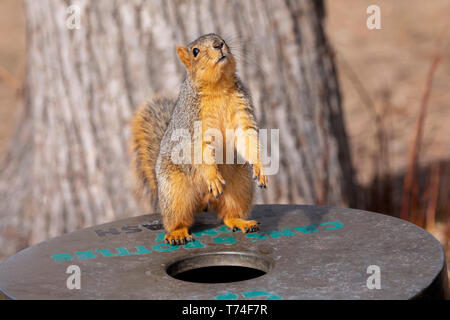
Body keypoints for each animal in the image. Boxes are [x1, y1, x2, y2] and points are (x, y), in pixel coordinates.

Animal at [130, 33, 268, 245]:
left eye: (220, 37)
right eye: (195, 51)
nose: (219, 45)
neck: (218, 86)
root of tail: (204, 202)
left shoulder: (242, 112)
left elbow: (248, 137)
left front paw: (260, 167)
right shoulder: (193, 125)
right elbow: (200, 149)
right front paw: (212, 177)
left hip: (240, 185)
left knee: (229, 213)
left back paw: (241, 221)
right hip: (174, 193)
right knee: (177, 220)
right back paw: (177, 233)